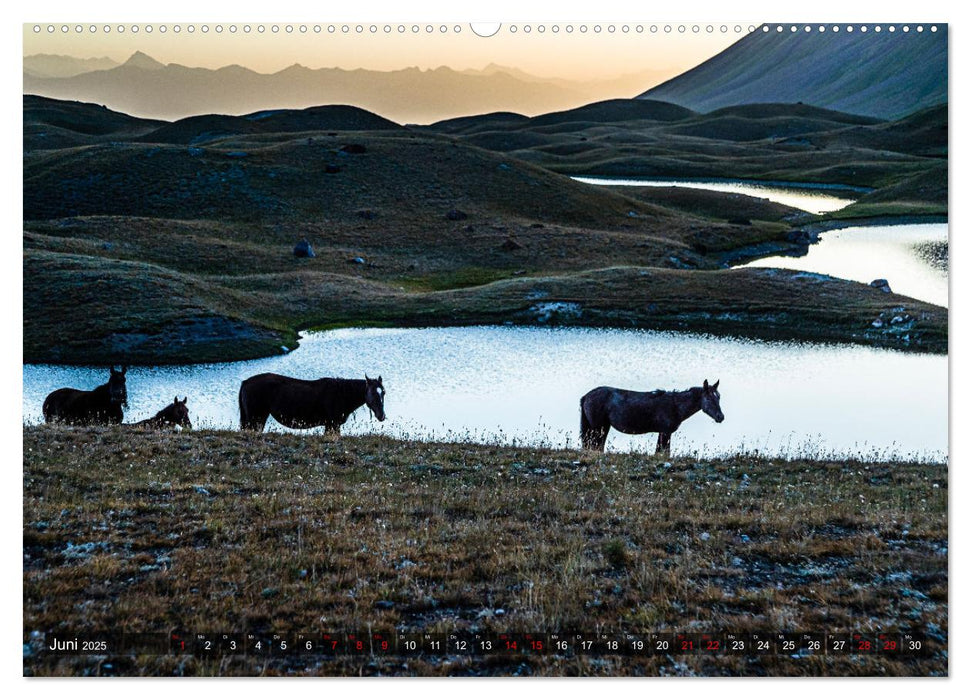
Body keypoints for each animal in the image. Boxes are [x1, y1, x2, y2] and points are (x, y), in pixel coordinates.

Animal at [239, 372, 388, 432]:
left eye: (383, 392)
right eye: (373, 392)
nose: (381, 416)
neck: (342, 394)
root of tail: (245, 382)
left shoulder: (331, 425)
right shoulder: (332, 424)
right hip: (255, 419)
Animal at [580, 378, 724, 454]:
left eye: (719, 397)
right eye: (709, 398)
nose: (720, 417)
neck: (675, 405)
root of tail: (586, 396)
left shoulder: (662, 433)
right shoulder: (665, 432)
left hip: (603, 427)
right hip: (597, 428)